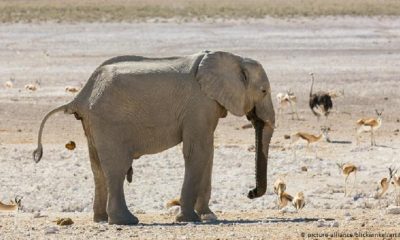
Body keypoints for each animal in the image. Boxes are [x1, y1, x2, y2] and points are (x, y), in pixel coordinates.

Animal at [33, 50, 276, 225]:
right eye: (264, 91)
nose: (250, 193)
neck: (234, 58)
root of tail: (81, 96)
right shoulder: (199, 104)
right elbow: (197, 151)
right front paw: (189, 219)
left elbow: (208, 152)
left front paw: (209, 216)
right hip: (108, 122)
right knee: (117, 167)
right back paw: (126, 221)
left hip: (92, 124)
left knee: (97, 168)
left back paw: (101, 219)